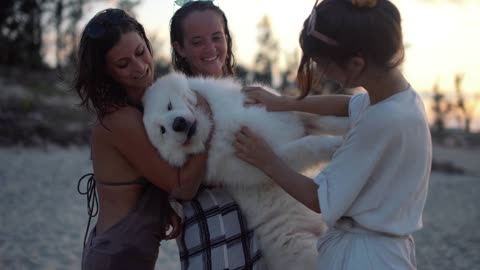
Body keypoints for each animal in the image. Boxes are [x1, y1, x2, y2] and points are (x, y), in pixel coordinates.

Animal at [142, 73, 344, 270]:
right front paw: (337, 145)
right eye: (162, 131)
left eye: (169, 106)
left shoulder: (290, 116)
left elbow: (327, 120)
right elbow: (310, 144)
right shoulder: (274, 156)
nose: (178, 124)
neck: (217, 127)